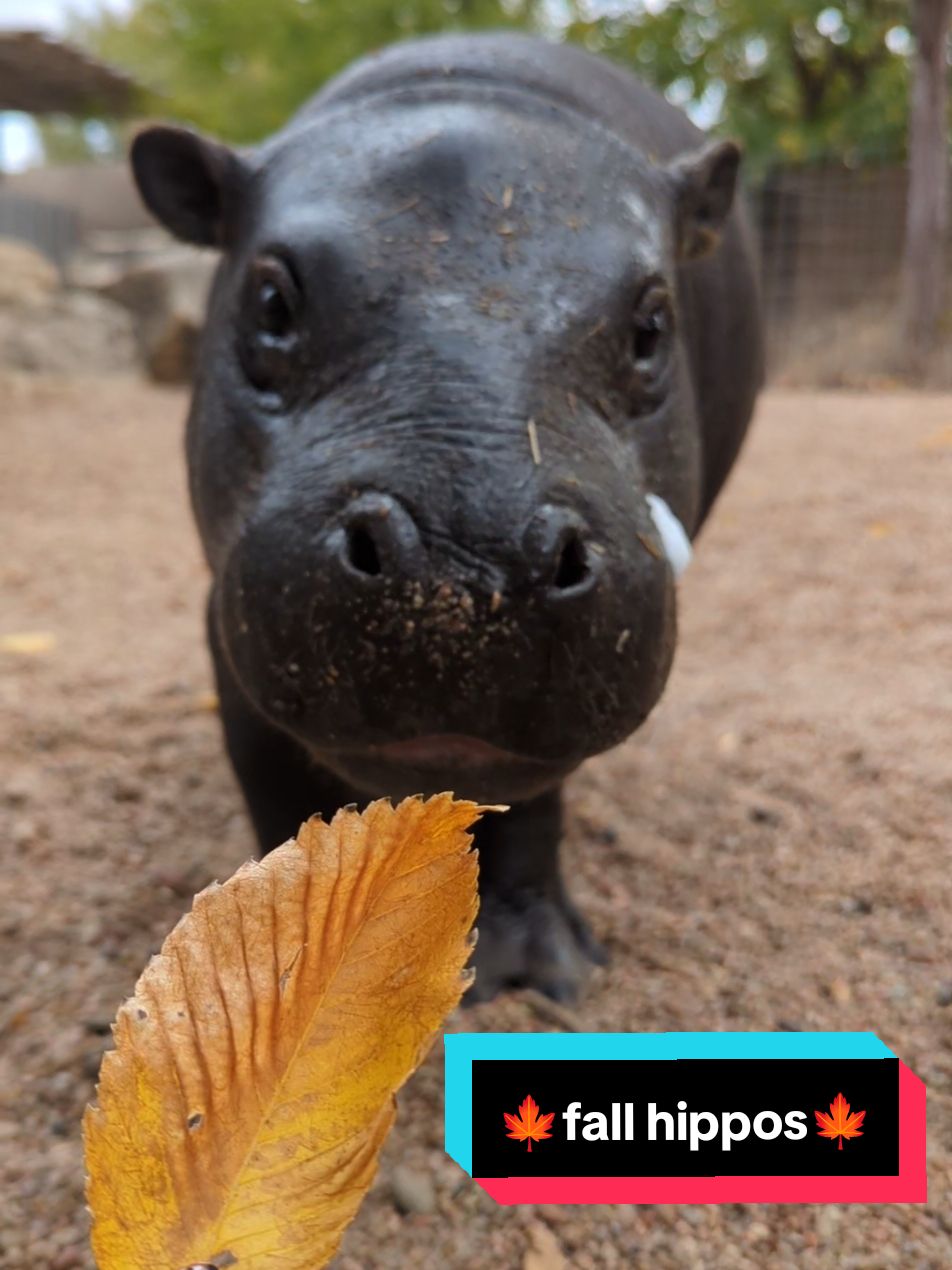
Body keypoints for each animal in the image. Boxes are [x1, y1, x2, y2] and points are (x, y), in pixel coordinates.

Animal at [132, 32, 761, 1000]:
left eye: (655, 323)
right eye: (270, 300)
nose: (464, 563)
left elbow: (534, 805)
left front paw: (540, 971)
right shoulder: (224, 623)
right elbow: (267, 773)